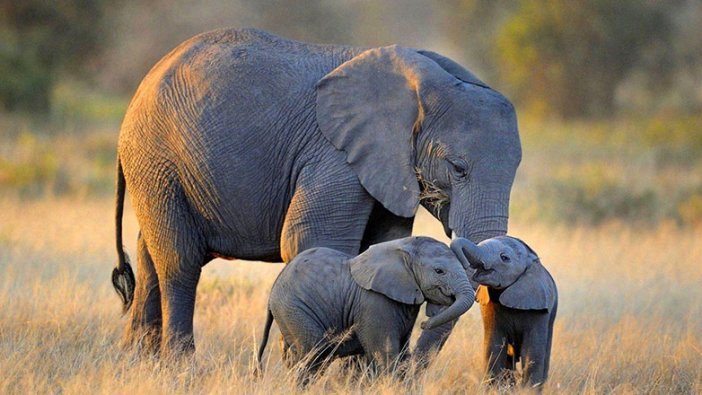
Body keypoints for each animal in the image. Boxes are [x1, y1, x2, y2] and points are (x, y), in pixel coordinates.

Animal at [113, 27, 524, 356]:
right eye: (458, 169)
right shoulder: (334, 155)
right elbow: (310, 240)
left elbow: (382, 244)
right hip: (157, 159)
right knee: (179, 262)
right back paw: (179, 367)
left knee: (150, 257)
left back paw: (138, 364)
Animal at [256, 235, 476, 384]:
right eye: (439, 271)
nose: (424, 323)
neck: (403, 247)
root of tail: (274, 289)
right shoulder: (375, 303)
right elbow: (386, 353)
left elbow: (402, 351)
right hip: (294, 309)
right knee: (314, 354)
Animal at [452, 237, 560, 388]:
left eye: (504, 258)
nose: (466, 265)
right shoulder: (489, 306)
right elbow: (494, 347)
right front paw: (494, 388)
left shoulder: (539, 309)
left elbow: (532, 352)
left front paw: (527, 390)